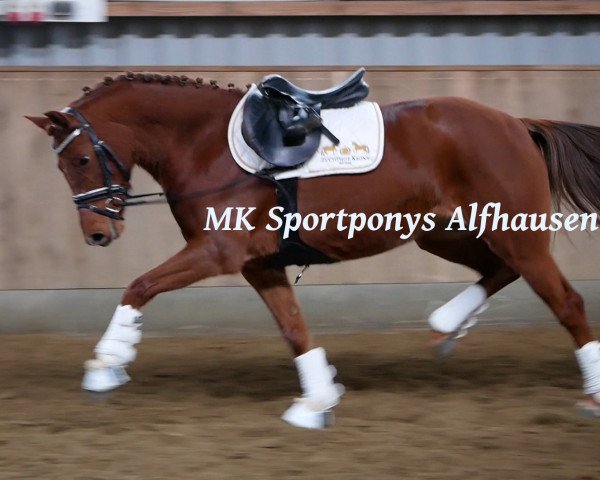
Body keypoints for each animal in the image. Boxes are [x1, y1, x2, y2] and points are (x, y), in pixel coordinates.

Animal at [27, 73, 600, 426]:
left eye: (80, 160)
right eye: (64, 165)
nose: (97, 235)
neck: (205, 144)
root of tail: (515, 123)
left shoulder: (216, 252)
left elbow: (138, 285)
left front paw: (107, 363)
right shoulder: (258, 264)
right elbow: (293, 328)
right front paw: (317, 401)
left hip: (512, 233)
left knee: (565, 300)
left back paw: (590, 395)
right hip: (445, 232)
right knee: (499, 271)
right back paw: (446, 324)